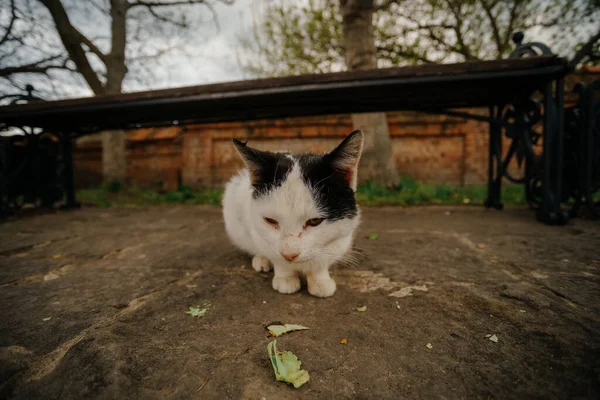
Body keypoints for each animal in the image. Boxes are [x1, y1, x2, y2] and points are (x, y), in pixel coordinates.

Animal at [221, 130, 366, 296]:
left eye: (314, 221)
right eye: (270, 220)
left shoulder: (341, 238)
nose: (289, 254)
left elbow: (322, 260)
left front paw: (320, 279)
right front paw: (285, 277)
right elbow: (275, 256)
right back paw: (261, 259)